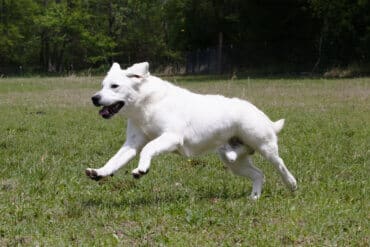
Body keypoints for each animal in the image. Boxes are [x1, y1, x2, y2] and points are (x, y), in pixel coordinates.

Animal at [85, 62, 296, 200]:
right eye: (102, 86)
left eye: (114, 86)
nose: (94, 98)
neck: (146, 105)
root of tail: (261, 115)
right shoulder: (132, 144)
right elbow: (114, 161)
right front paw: (99, 172)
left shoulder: (171, 137)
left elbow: (148, 149)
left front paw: (141, 169)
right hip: (234, 161)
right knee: (259, 174)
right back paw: (254, 197)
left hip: (265, 147)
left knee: (280, 165)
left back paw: (291, 184)